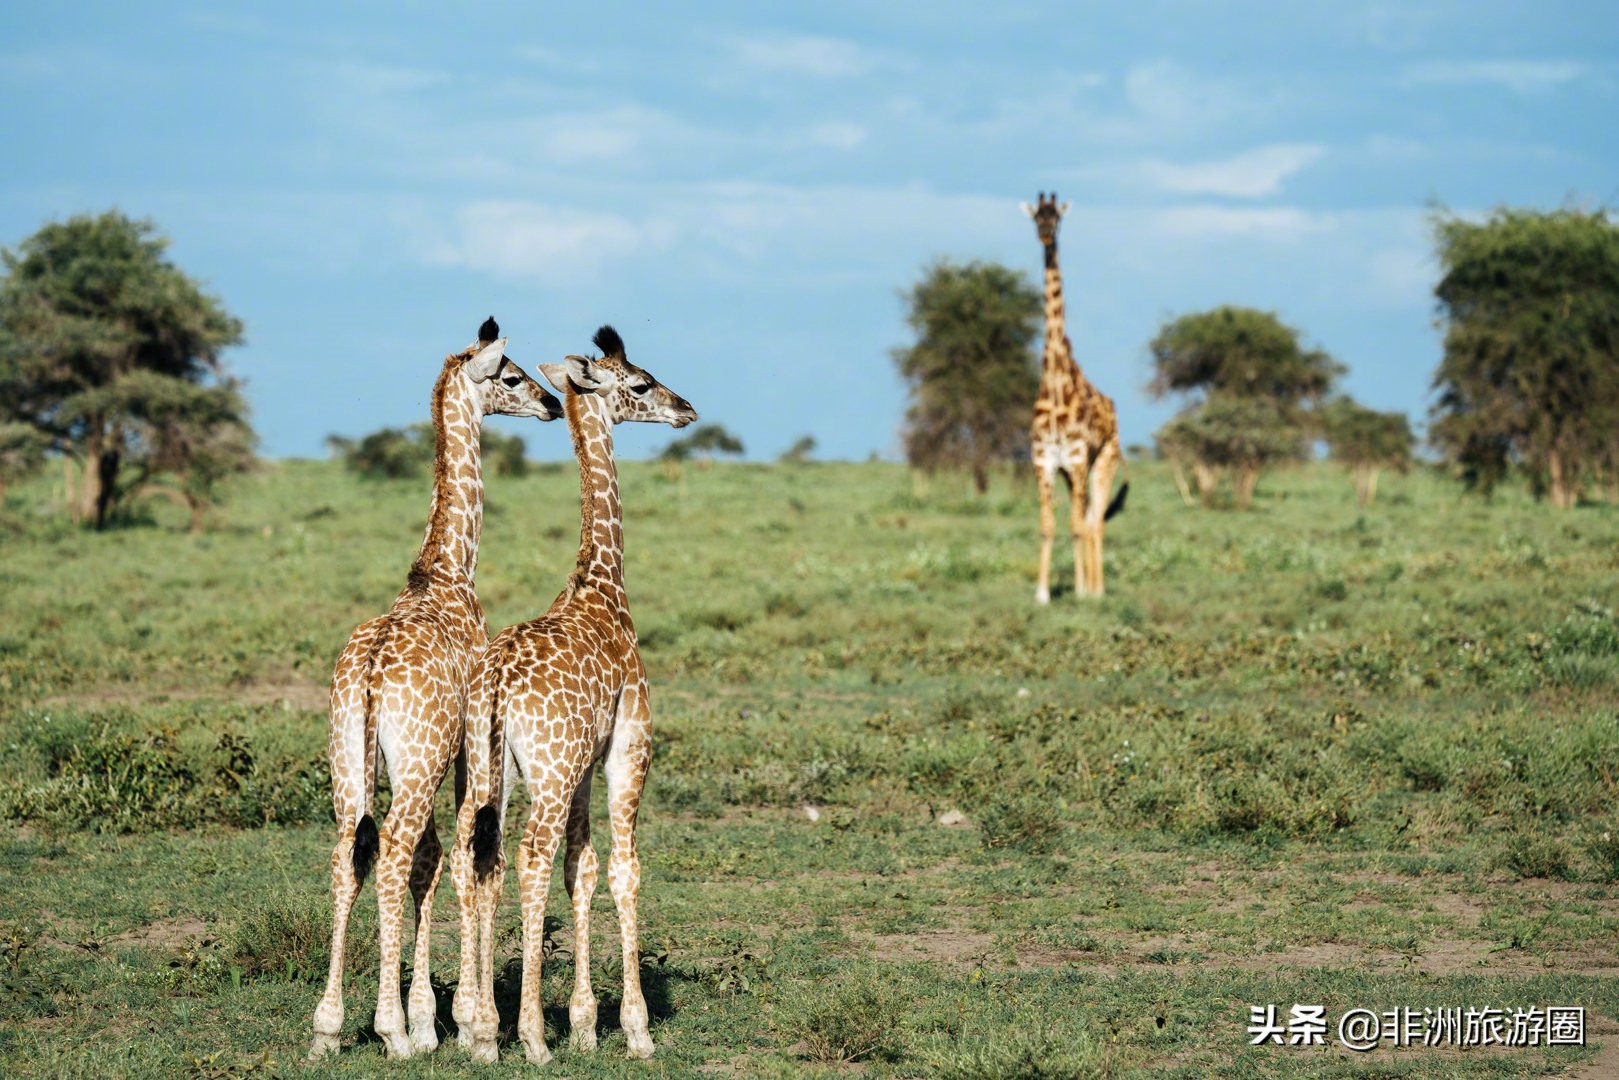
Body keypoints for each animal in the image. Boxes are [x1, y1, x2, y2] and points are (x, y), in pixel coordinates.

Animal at [309, 317, 563, 1062]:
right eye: (509, 375)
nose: (551, 404)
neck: (447, 570)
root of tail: (370, 675)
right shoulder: (460, 754)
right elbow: (453, 859)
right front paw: (439, 1020)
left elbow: (432, 860)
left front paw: (430, 1016)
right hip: (416, 763)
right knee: (395, 854)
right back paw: (389, 1029)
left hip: (347, 762)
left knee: (347, 855)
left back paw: (328, 1027)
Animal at [450, 323, 696, 1062]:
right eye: (640, 382)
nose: (686, 409)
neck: (602, 587)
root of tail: (498, 682)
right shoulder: (625, 750)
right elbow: (622, 869)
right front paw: (635, 1027)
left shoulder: (584, 766)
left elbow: (580, 870)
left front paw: (586, 1022)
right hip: (548, 772)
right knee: (529, 855)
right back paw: (528, 1035)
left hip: (489, 770)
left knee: (483, 856)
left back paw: (481, 1028)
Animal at [1023, 191, 1126, 599]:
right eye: (1036, 216)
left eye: (1058, 217)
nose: (1046, 235)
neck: (1055, 381)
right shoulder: (1044, 462)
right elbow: (1048, 526)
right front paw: (1042, 594)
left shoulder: (1080, 459)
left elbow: (1078, 527)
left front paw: (1082, 591)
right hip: (1072, 472)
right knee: (1086, 518)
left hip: (1104, 462)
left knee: (1095, 521)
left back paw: (1097, 590)